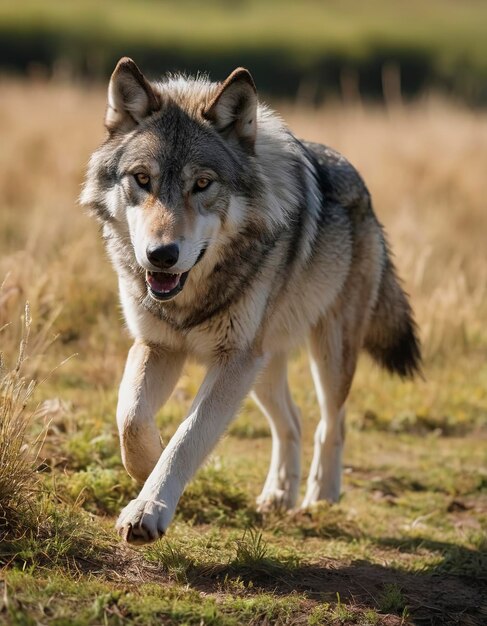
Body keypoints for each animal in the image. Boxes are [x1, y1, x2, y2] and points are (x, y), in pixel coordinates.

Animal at [80, 59, 420, 544]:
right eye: (142, 179)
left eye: (202, 184)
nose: (161, 255)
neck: (191, 297)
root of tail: (363, 188)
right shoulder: (161, 347)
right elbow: (131, 420)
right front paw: (146, 468)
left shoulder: (232, 361)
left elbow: (187, 437)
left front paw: (149, 507)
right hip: (262, 366)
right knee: (291, 422)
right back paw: (279, 495)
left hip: (326, 355)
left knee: (331, 423)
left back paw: (321, 496)